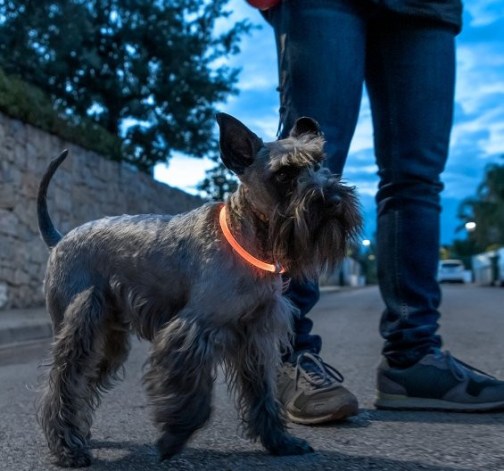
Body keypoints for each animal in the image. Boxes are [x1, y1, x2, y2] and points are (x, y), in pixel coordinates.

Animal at [36, 113, 362, 468]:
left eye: (319, 163)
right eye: (284, 173)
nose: (334, 201)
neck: (249, 237)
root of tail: (61, 238)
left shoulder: (256, 335)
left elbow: (263, 393)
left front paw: (280, 441)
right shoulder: (193, 331)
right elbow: (196, 399)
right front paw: (173, 438)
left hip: (108, 341)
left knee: (80, 386)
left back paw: (77, 436)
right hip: (81, 328)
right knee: (62, 386)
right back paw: (68, 448)